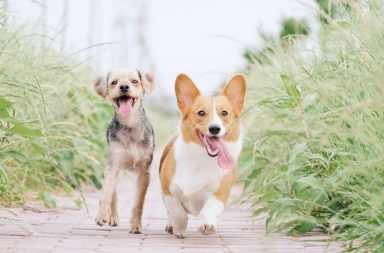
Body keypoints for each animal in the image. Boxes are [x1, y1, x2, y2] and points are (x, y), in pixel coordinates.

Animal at [93, 68, 154, 233]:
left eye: (134, 81)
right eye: (114, 82)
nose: (124, 87)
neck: (129, 124)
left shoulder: (144, 172)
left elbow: (138, 203)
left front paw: (136, 225)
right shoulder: (113, 165)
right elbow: (106, 194)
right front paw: (102, 215)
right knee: (114, 194)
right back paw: (113, 217)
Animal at [158, 73, 246, 239]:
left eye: (224, 113)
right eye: (201, 113)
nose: (215, 128)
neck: (203, 157)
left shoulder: (220, 192)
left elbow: (210, 207)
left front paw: (208, 225)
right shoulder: (169, 190)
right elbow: (177, 212)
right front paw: (179, 229)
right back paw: (170, 225)